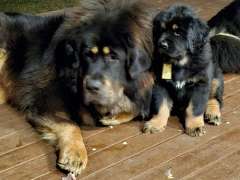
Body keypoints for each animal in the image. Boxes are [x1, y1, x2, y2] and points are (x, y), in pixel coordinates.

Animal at [0, 0, 156, 175]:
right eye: (87, 54)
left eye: (113, 57)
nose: (91, 86)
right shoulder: (43, 102)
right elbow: (70, 124)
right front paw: (75, 155)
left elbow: (136, 106)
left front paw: (114, 116)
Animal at [144, 4, 225, 136]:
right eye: (161, 30)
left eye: (177, 32)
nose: (162, 45)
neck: (179, 63)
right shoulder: (159, 83)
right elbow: (161, 106)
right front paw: (155, 124)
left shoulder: (200, 83)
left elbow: (195, 108)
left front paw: (195, 126)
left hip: (216, 78)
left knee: (215, 99)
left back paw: (213, 114)